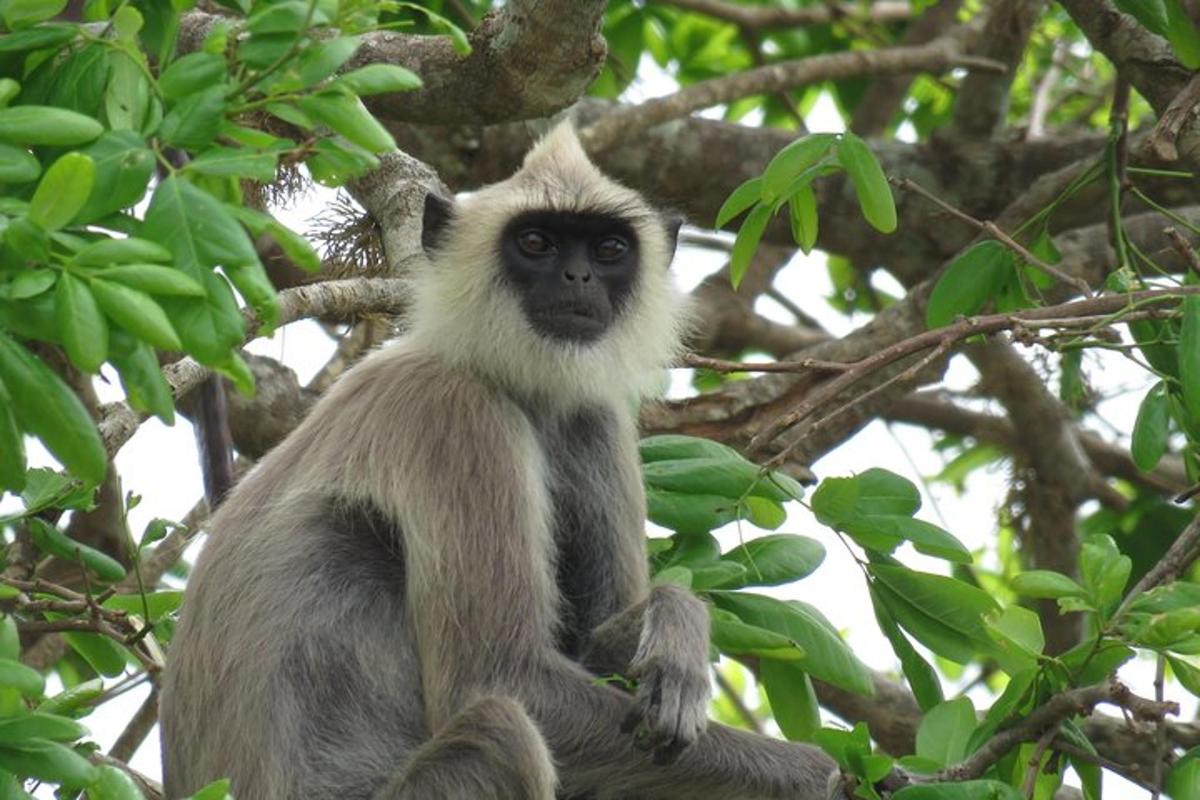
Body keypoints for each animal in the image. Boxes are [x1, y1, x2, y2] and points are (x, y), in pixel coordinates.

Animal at [157, 125, 844, 800]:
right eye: (536, 242)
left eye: (609, 250)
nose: (578, 279)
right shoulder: (453, 414)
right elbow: (502, 679)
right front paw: (826, 777)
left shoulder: (593, 417)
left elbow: (601, 648)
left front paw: (677, 623)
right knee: (501, 728)